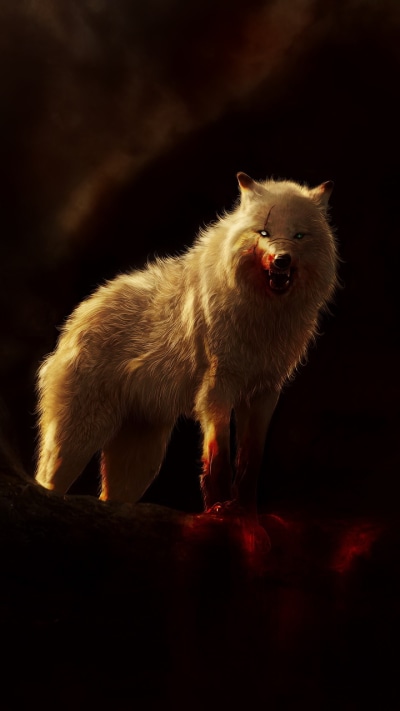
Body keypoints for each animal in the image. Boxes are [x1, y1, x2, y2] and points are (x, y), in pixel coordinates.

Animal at [35, 172, 338, 513]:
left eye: (299, 235)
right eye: (264, 232)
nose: (281, 260)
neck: (263, 315)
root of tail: (76, 319)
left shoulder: (264, 395)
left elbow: (251, 461)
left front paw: (246, 512)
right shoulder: (216, 390)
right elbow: (218, 458)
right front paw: (218, 509)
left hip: (140, 463)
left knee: (110, 497)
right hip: (77, 441)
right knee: (47, 482)